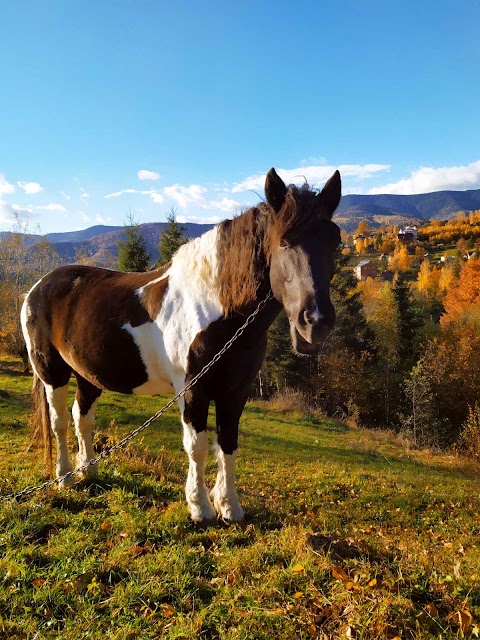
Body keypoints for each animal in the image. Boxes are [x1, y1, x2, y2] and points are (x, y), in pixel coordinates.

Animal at [18, 168, 342, 524]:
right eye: (283, 241)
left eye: (335, 242)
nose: (315, 323)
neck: (216, 309)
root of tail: (37, 287)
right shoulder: (192, 390)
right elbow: (197, 446)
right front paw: (200, 508)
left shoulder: (236, 392)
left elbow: (228, 443)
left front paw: (229, 507)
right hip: (52, 373)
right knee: (60, 421)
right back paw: (65, 478)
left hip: (88, 375)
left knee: (82, 418)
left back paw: (88, 471)